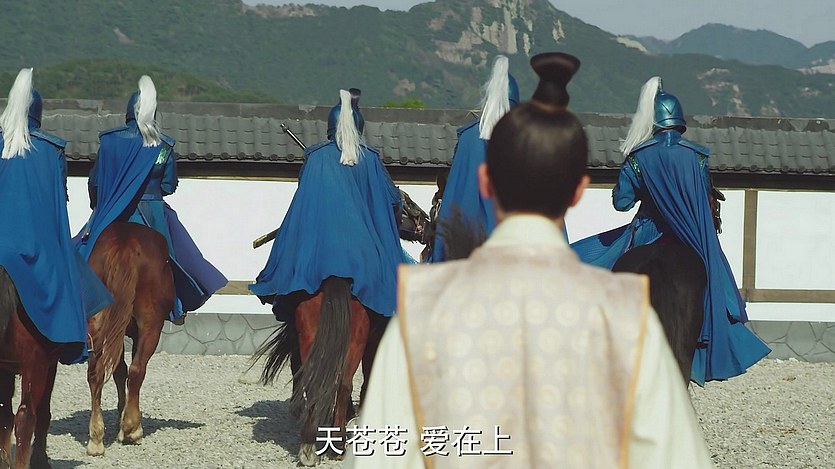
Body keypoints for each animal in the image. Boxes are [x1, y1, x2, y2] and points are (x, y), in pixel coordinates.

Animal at [0, 268, 61, 469]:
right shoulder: (47, 363)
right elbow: (42, 413)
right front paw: (40, 459)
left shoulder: (6, 367)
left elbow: (4, 414)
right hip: (35, 367)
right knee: (26, 418)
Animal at [83, 221, 175, 457]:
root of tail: (124, 241)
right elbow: (128, 370)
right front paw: (127, 424)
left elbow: (118, 370)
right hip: (151, 326)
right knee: (137, 370)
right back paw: (132, 428)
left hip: (96, 322)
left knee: (95, 373)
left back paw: (96, 438)